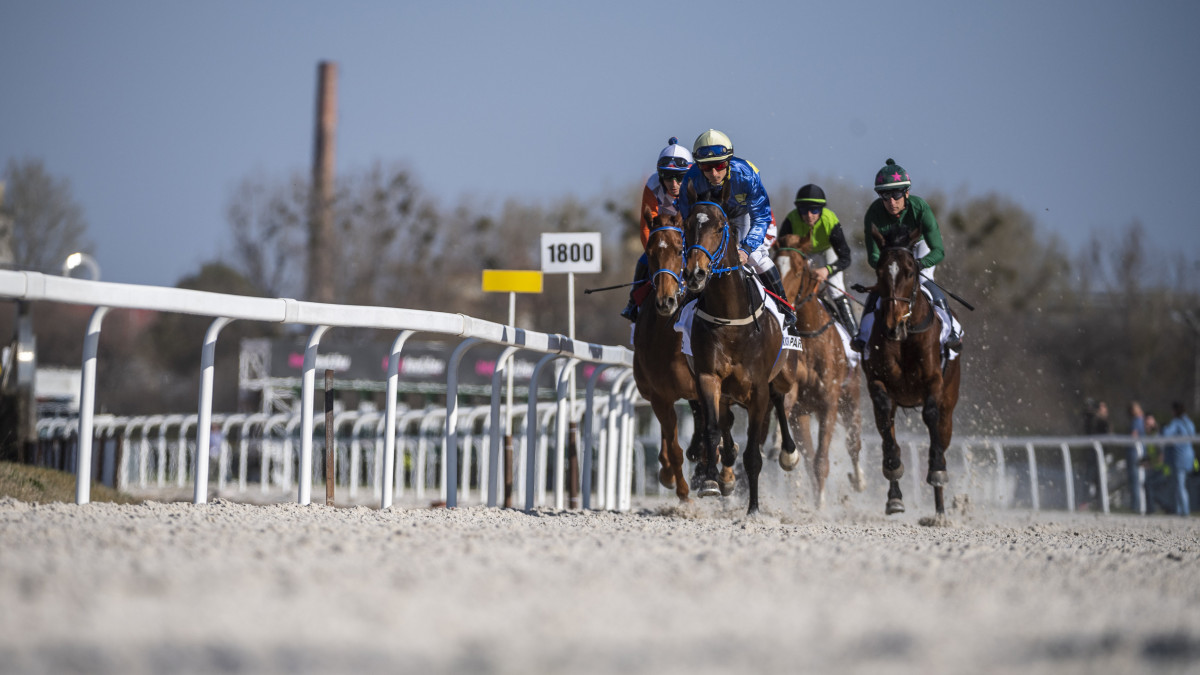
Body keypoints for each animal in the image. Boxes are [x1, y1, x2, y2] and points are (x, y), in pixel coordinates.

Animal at [686, 181, 787, 511]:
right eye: (687, 225)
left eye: (720, 227)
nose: (695, 273)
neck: (731, 319)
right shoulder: (708, 378)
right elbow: (712, 429)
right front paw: (710, 481)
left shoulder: (758, 389)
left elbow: (753, 453)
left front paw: (753, 509)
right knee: (724, 425)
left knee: (779, 400)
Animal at [772, 233, 868, 504]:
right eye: (774, 264)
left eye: (799, 270)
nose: (780, 301)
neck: (810, 337)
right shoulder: (796, 401)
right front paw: (778, 446)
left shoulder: (829, 403)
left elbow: (821, 461)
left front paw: (821, 505)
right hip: (805, 413)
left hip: (851, 398)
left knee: (853, 443)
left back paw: (859, 480)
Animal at [864, 223, 964, 511]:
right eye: (880, 271)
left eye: (910, 271)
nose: (893, 324)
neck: (906, 337)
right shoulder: (877, 383)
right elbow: (887, 429)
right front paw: (893, 468)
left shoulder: (934, 382)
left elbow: (930, 416)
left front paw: (937, 469)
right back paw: (895, 496)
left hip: (949, 403)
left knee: (941, 435)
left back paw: (940, 508)